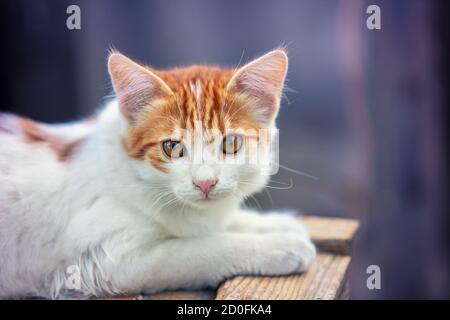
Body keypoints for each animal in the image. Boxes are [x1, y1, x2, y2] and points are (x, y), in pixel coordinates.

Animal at [0, 48, 314, 298]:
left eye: (231, 143)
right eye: (172, 147)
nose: (205, 183)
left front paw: (274, 223)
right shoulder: (111, 259)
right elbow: (200, 250)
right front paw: (279, 246)